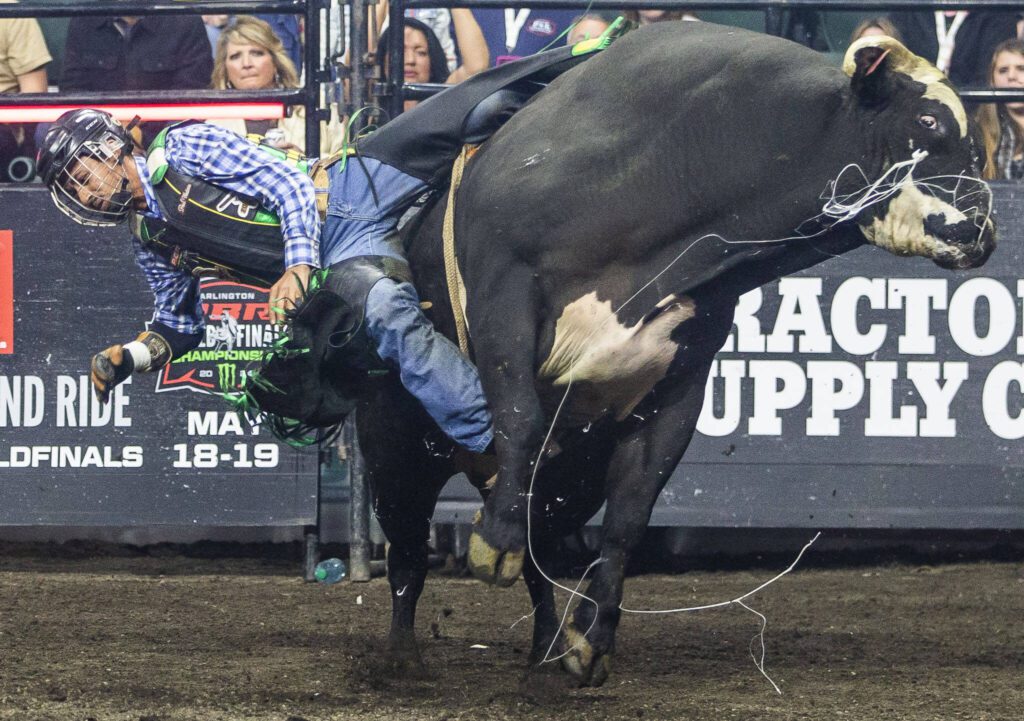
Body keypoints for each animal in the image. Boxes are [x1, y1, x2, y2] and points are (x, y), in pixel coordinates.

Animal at [350, 23, 991, 688]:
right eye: (928, 120)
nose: (980, 231)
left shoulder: (678, 380)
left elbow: (631, 514)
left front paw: (591, 640)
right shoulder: (506, 289)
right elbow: (522, 420)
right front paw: (493, 543)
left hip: (567, 481)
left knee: (542, 554)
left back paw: (547, 649)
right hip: (391, 442)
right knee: (406, 553)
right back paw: (402, 658)